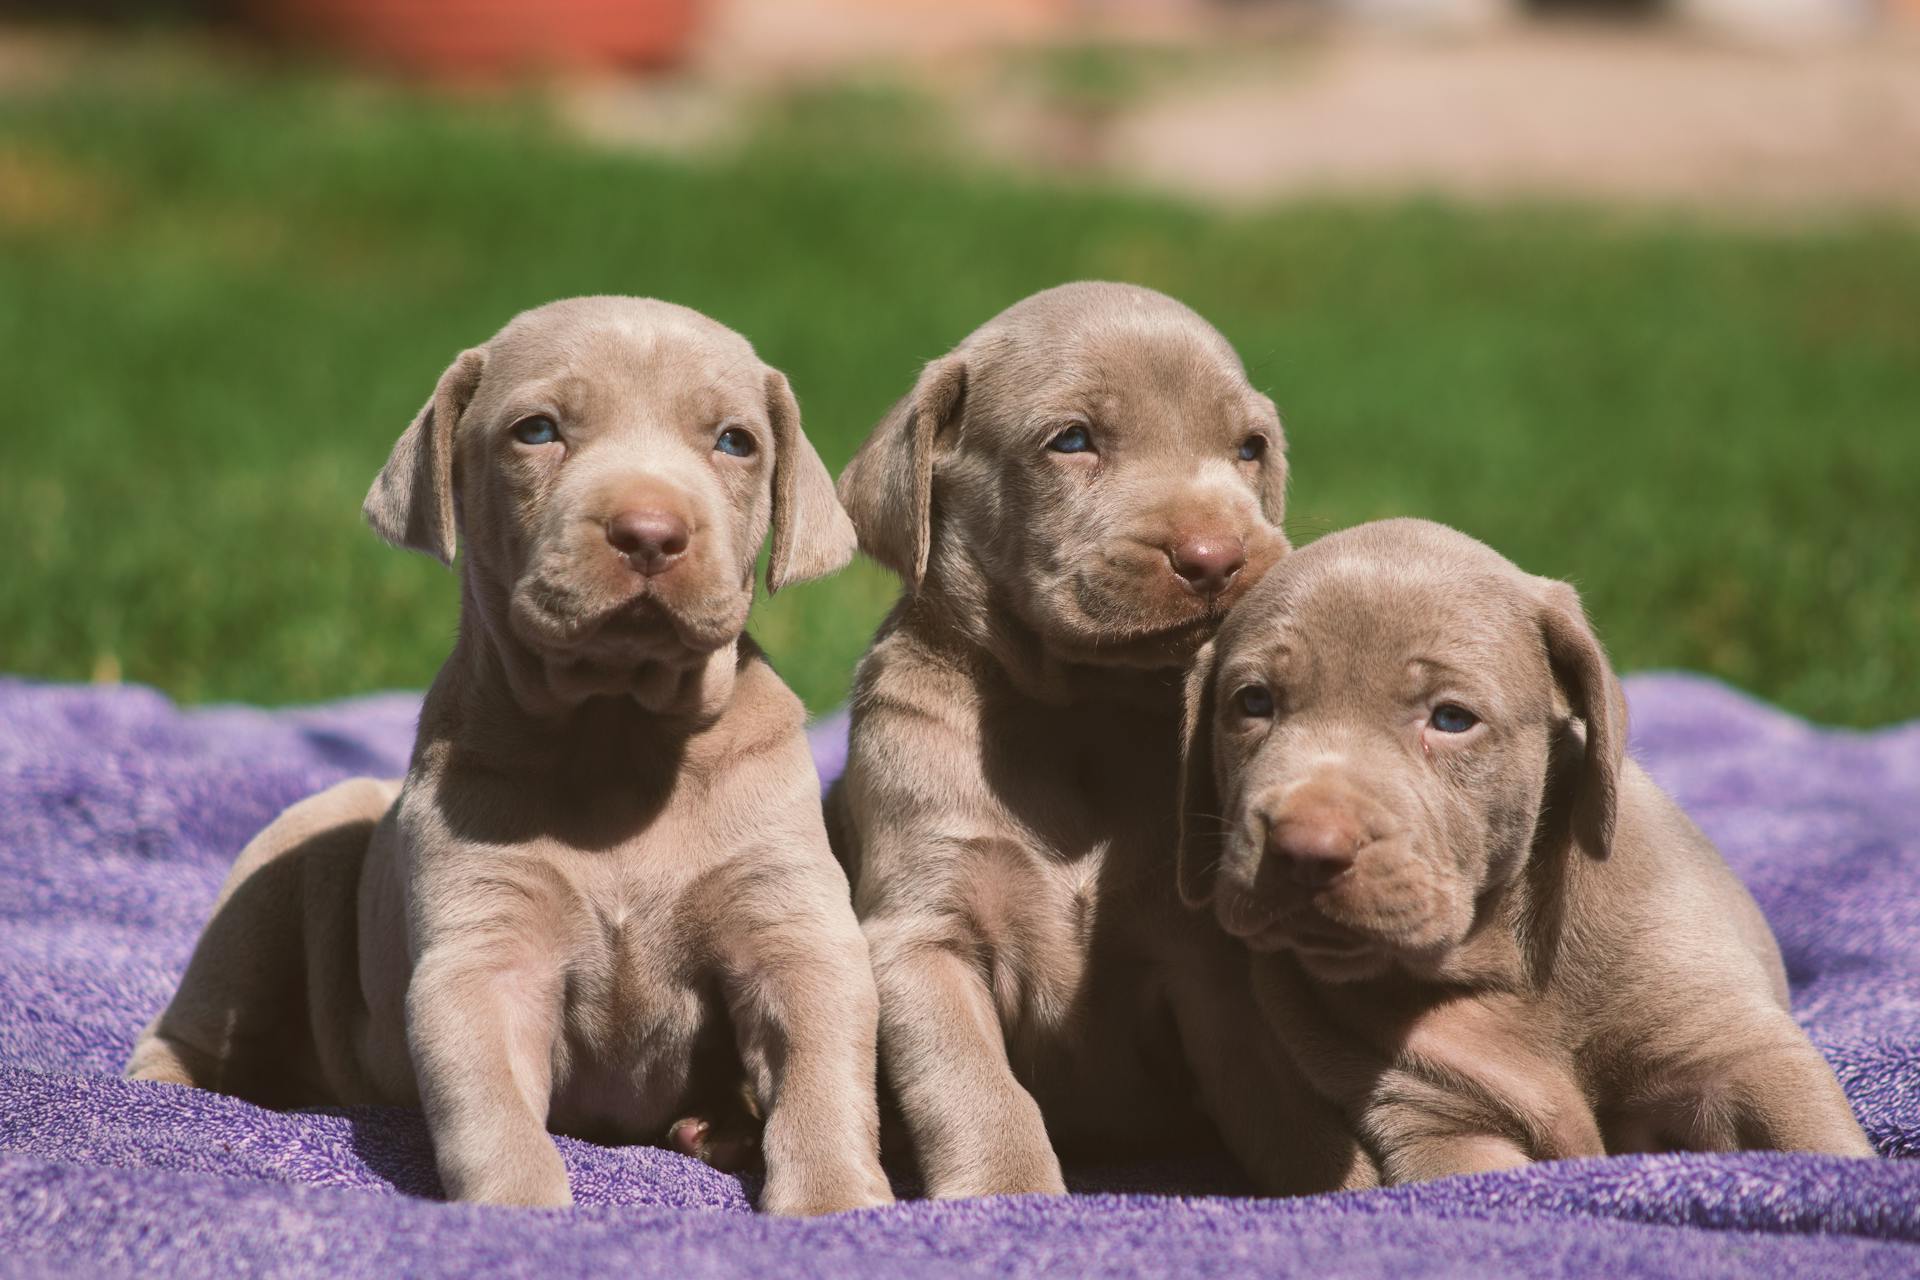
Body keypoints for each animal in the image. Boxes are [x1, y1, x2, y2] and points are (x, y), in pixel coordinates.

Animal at [127, 295, 890, 1220]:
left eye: (735, 442)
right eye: (538, 430)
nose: (651, 533)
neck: (614, 735)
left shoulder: (791, 925)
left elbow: (824, 1073)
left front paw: (833, 1202)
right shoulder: (485, 953)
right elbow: (489, 1109)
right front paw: (521, 1214)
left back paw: (721, 1127)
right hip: (295, 851)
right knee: (192, 1027)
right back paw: (156, 1103)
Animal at [840, 280, 1382, 1205]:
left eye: (1249, 448)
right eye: (1072, 440)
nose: (1218, 557)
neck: (1079, 716)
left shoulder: (1205, 961)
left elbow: (1273, 1092)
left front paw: (1345, 1182)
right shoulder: (921, 934)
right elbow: (976, 1086)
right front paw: (1010, 1189)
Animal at [1175, 518, 1881, 1182]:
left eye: (1452, 719)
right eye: (1254, 702)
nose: (1304, 848)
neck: (1501, 958)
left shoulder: (1738, 1050)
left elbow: (1818, 1139)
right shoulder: (1438, 1126)